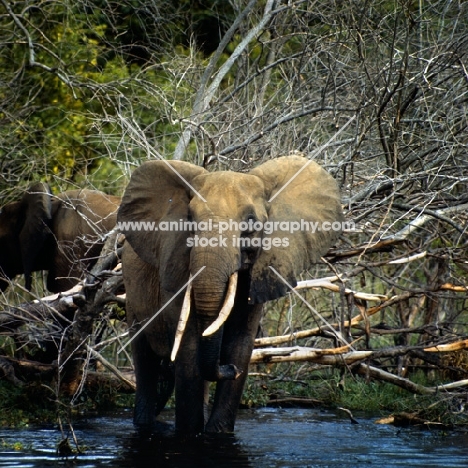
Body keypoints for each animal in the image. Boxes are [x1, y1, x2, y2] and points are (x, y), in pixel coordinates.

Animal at [117, 156, 344, 436]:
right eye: (190, 220)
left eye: (251, 222)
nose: (229, 370)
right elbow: (189, 349)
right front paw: (191, 435)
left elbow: (241, 343)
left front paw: (217, 433)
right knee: (145, 363)